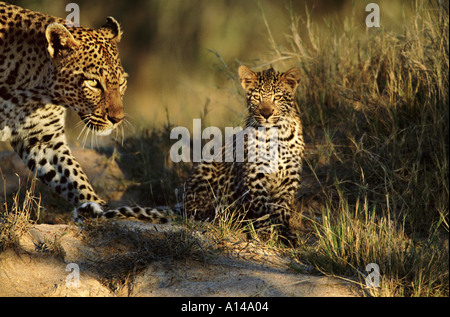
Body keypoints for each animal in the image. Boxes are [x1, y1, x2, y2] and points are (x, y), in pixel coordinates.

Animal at [0, 1, 169, 222]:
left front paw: (94, 207)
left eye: (122, 82)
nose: (117, 119)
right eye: (93, 83)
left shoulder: (43, 138)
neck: (32, 92)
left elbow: (72, 174)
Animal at [185, 65, 304, 241]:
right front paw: (264, 233)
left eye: (277, 97)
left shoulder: (290, 178)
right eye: (256, 97)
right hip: (206, 166)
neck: (276, 134)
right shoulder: (255, 176)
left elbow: (282, 209)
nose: (266, 114)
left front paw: (284, 234)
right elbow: (261, 207)